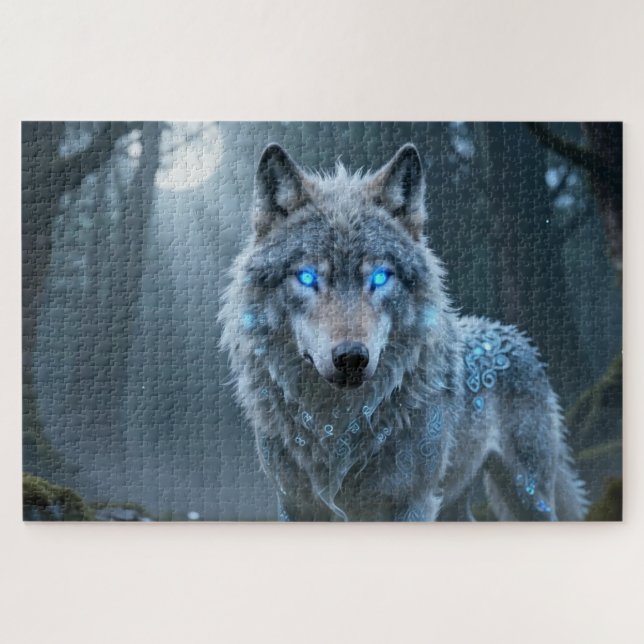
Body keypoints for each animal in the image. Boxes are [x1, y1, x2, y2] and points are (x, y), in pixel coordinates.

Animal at [219, 142, 588, 521]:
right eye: (307, 277)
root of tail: (514, 335)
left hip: (527, 494)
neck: (337, 423)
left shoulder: (413, 502)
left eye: (380, 277)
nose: (351, 358)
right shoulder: (295, 505)